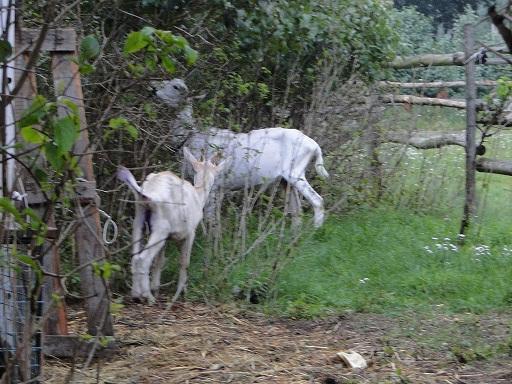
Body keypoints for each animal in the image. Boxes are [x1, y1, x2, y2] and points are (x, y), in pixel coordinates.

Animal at [118, 147, 230, 304]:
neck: (198, 195)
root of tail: (146, 194)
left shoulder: (168, 237)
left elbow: (159, 262)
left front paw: (156, 288)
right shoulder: (190, 232)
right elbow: (184, 262)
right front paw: (181, 293)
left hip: (139, 220)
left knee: (135, 256)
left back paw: (135, 294)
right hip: (161, 228)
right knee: (143, 259)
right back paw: (148, 297)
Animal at [150, 79, 330, 226]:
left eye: (176, 86)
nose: (152, 88)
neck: (190, 136)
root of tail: (315, 146)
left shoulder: (214, 184)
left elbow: (210, 218)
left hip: (295, 172)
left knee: (317, 201)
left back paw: (314, 232)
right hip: (285, 181)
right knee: (297, 210)